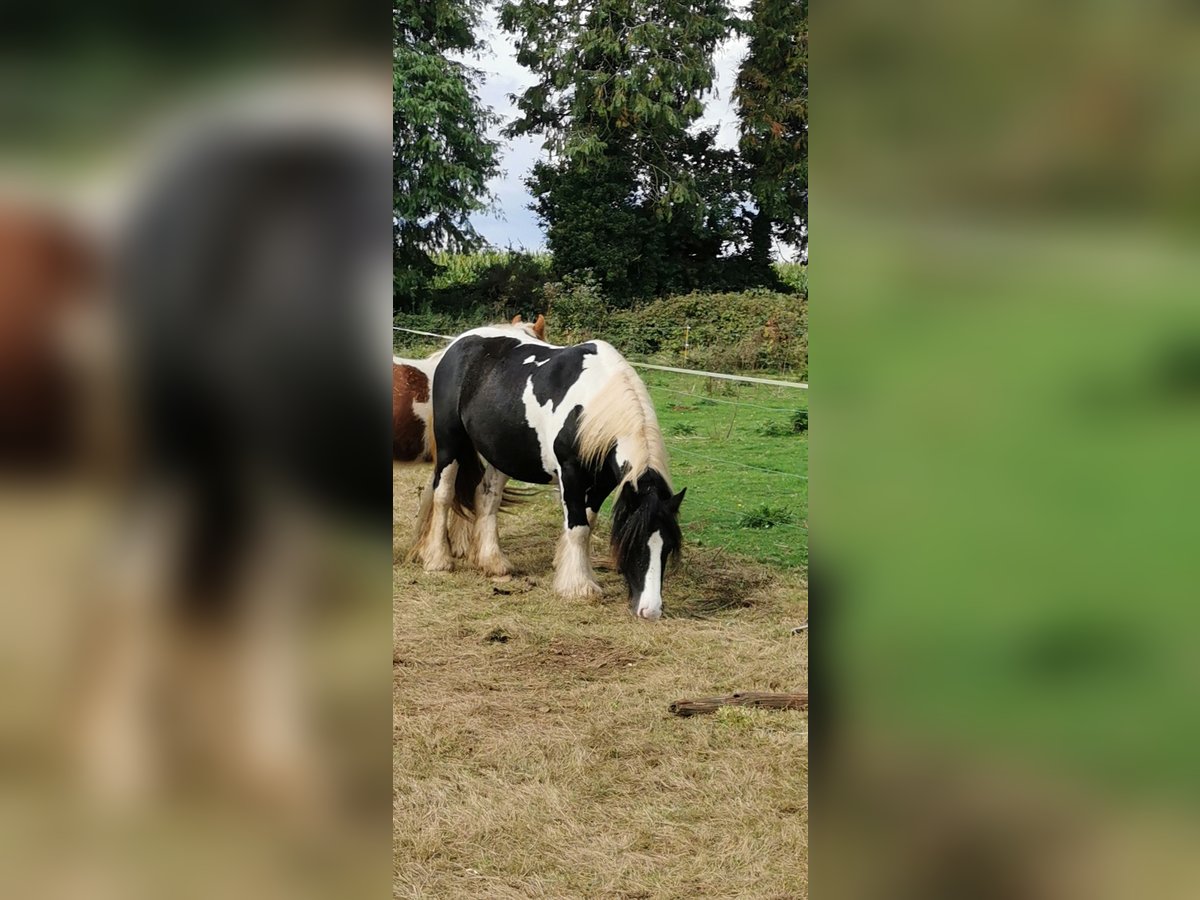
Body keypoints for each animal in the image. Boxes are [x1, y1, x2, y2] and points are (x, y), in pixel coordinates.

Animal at [412, 328, 686, 624]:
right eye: (632, 543)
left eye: (668, 547)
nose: (651, 611)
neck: (593, 402)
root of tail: (456, 345)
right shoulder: (571, 474)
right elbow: (578, 528)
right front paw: (578, 587)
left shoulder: (601, 483)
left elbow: (587, 524)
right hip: (450, 443)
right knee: (443, 494)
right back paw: (438, 560)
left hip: (501, 454)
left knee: (487, 498)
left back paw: (493, 562)